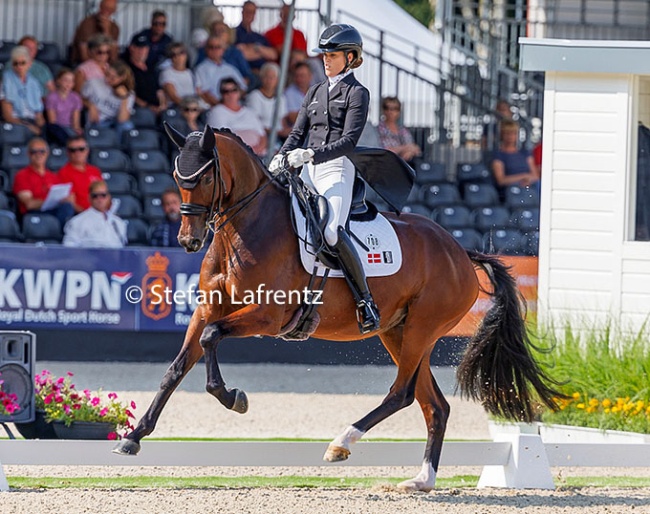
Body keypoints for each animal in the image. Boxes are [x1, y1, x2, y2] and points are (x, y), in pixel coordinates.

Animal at [113, 124, 560, 492]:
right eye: (176, 177)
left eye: (204, 176)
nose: (187, 241)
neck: (245, 229)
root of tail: (461, 253)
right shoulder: (208, 309)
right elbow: (176, 367)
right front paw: (133, 438)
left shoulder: (267, 316)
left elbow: (210, 340)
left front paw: (233, 397)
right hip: (397, 332)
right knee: (433, 404)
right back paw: (421, 479)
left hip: (421, 329)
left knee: (401, 393)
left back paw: (341, 443)